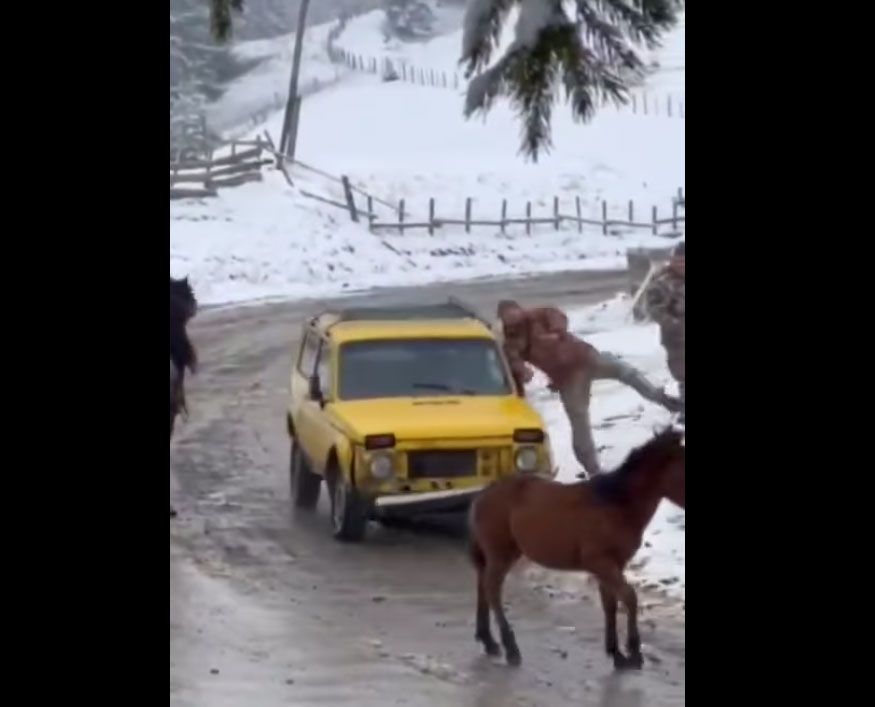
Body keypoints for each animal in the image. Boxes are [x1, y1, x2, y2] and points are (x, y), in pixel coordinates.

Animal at [472, 428, 684, 672]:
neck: (615, 504)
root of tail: (481, 496)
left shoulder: (612, 566)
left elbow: (610, 604)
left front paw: (617, 654)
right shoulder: (601, 563)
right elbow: (629, 598)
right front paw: (634, 653)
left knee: (483, 585)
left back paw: (488, 641)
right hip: (501, 553)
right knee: (492, 590)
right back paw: (511, 649)